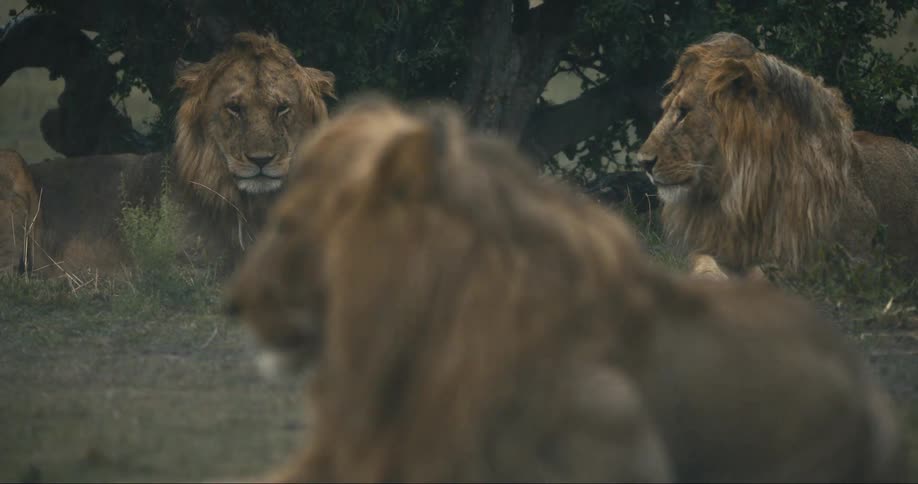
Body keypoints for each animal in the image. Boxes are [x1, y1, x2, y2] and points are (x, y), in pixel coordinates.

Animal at [0, 32, 335, 276]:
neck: (254, 206)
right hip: (11, 161)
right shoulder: (171, 264)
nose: (261, 160)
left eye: (282, 108)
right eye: (234, 108)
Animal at [636, 32, 918, 280]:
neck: (747, 193)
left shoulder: (853, 260)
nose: (643, 163)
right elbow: (704, 263)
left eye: (684, 112)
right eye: (667, 108)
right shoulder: (713, 246)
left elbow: (767, 273)